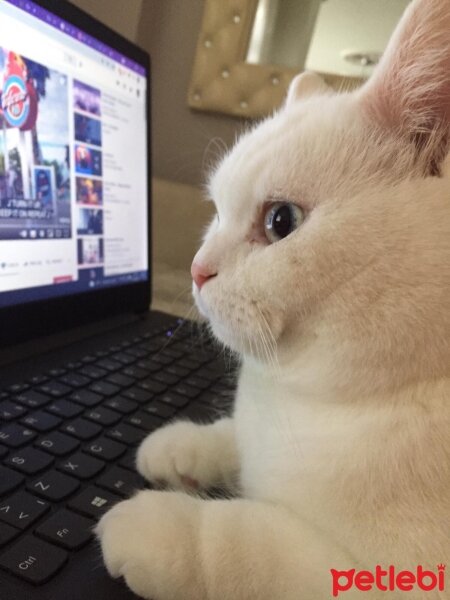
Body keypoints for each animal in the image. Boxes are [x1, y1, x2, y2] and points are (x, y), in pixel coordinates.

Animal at [96, 2, 450, 596]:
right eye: (216, 212)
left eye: (280, 221)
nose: (197, 270)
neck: (303, 401)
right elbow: (232, 437)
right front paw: (181, 446)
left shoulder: (374, 575)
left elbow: (253, 540)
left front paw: (162, 526)